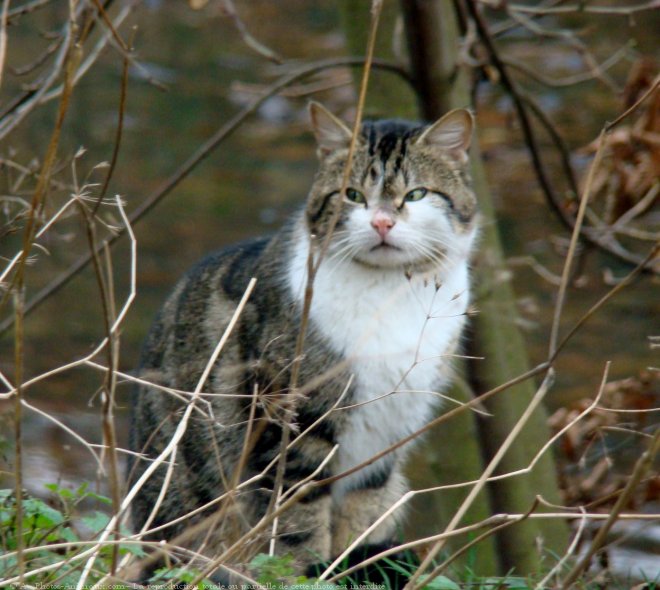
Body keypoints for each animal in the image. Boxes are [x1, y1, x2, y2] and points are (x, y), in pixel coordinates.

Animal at [127, 103, 480, 588]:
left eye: (416, 194)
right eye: (352, 194)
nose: (382, 222)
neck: (393, 294)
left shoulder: (387, 438)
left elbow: (358, 519)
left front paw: (351, 567)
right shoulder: (293, 426)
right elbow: (297, 523)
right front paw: (308, 573)